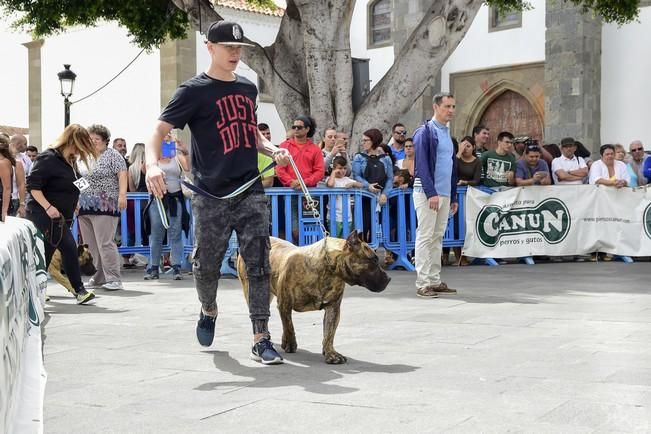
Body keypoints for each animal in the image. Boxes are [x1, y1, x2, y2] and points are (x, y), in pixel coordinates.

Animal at [239, 231, 392, 362]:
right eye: (373, 260)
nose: (389, 278)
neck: (327, 270)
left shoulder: (333, 308)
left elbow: (329, 333)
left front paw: (331, 353)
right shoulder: (285, 304)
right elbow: (289, 326)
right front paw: (291, 343)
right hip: (252, 290)